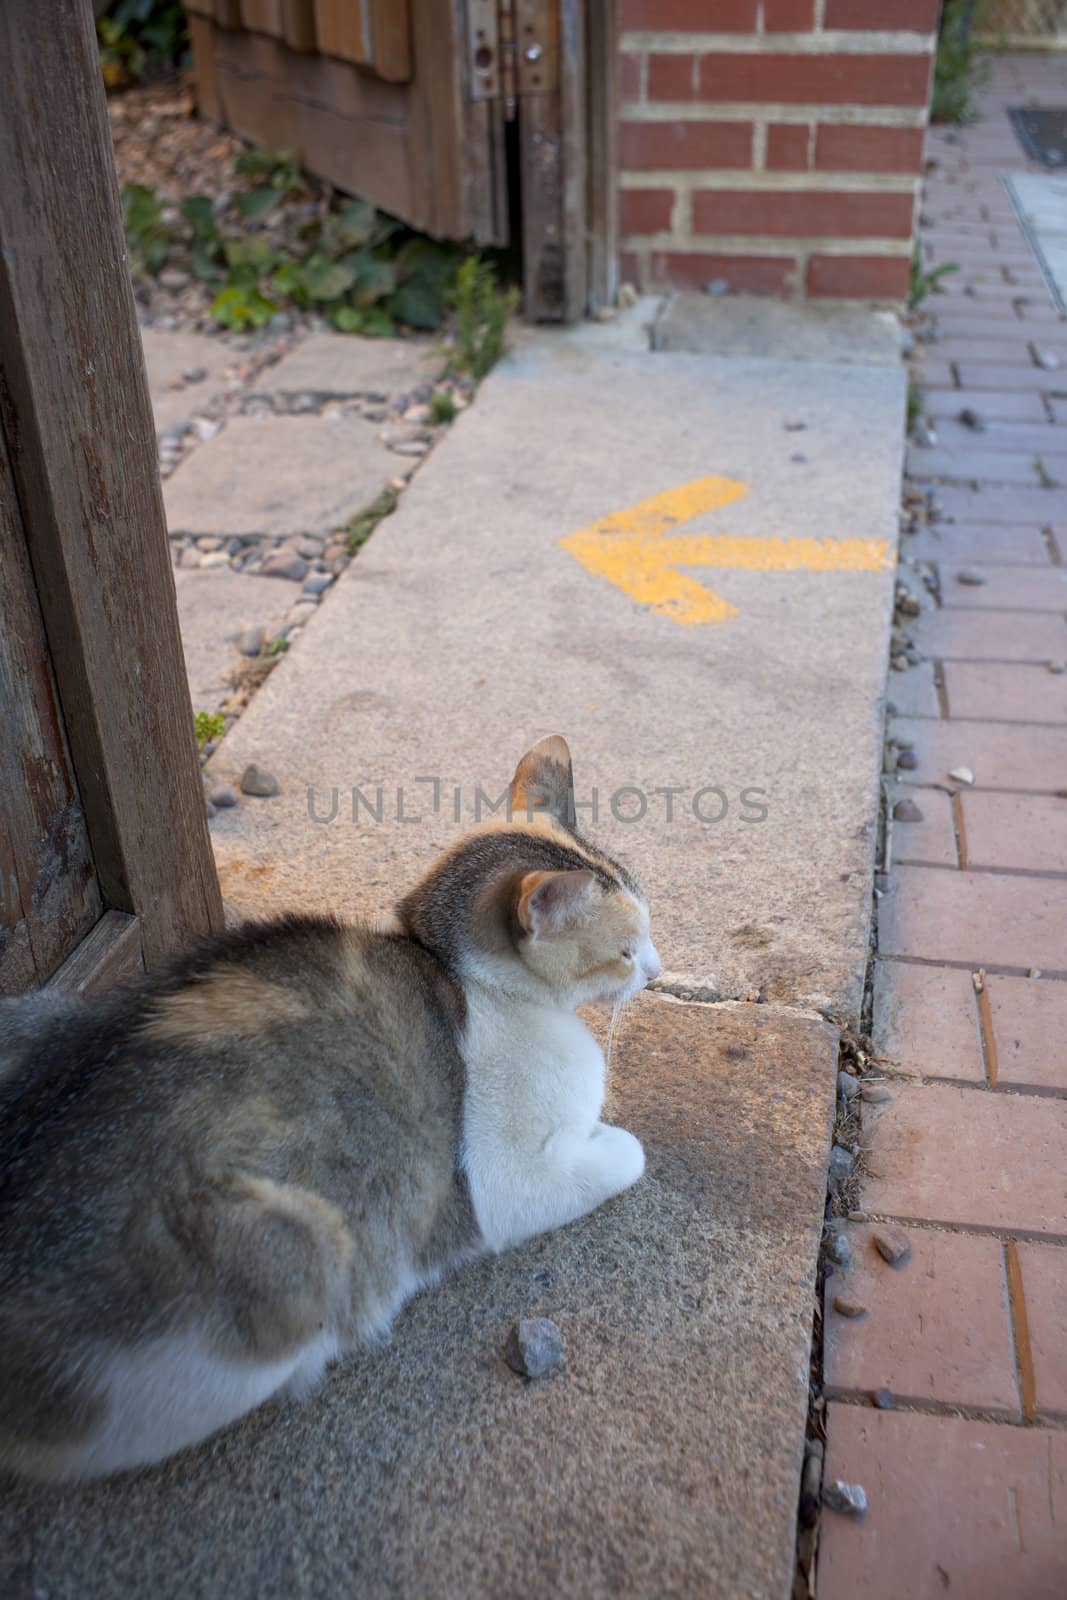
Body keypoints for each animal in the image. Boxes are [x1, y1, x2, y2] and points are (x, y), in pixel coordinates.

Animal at [0, 732, 659, 1478]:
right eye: (624, 951)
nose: (657, 970)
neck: (464, 978)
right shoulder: (506, 1184)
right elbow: (627, 1153)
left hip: (47, 1013)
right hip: (300, 1247)